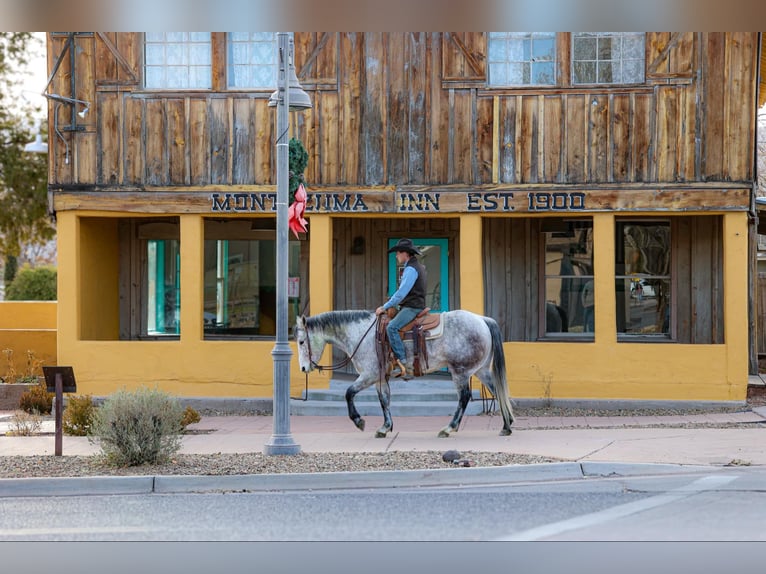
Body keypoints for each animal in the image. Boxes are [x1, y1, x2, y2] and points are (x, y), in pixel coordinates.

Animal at [294, 312, 516, 438]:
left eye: (301, 342)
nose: (303, 368)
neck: (361, 334)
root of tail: (482, 320)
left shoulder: (369, 375)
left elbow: (348, 393)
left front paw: (359, 421)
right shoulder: (380, 378)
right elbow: (384, 400)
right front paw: (385, 428)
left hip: (460, 372)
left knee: (465, 397)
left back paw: (448, 428)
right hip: (481, 370)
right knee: (498, 392)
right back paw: (507, 426)